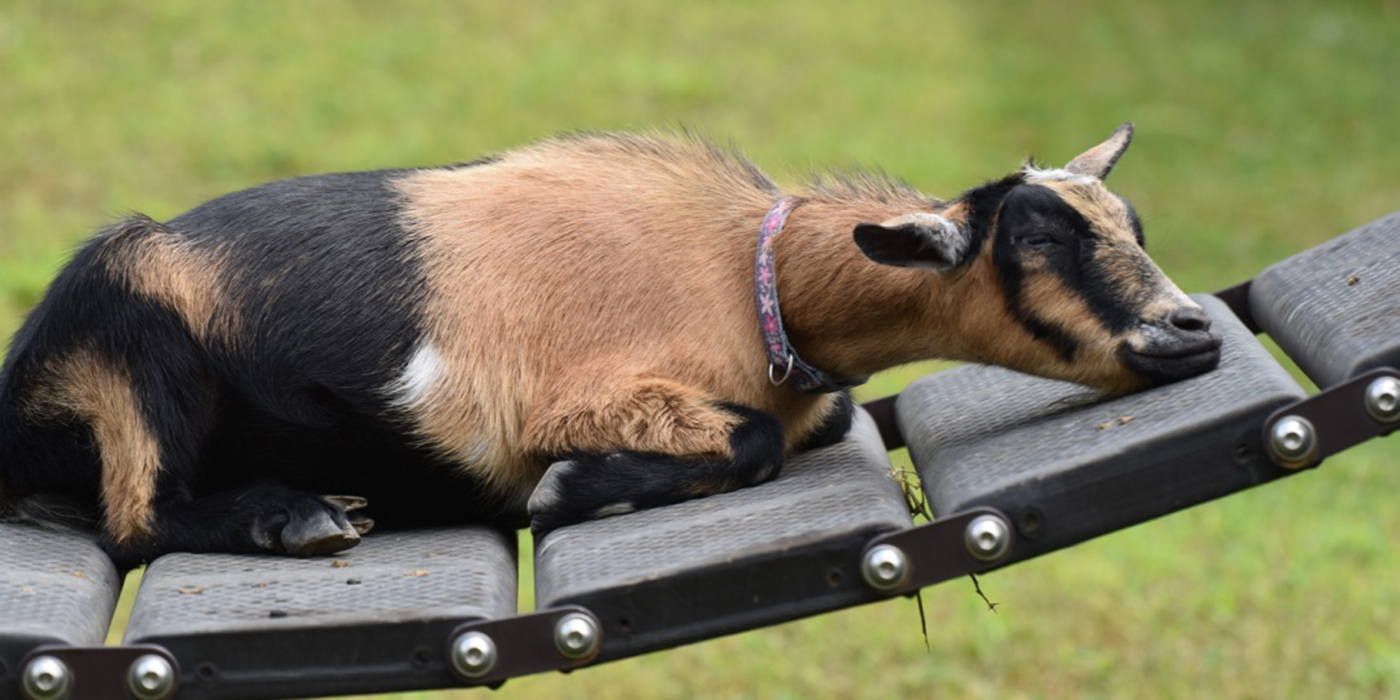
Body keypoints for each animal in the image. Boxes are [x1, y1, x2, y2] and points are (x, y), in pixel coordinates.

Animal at [0, 123, 1215, 565]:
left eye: (1132, 224)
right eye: (1038, 239)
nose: (1190, 330)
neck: (753, 277)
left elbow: (807, 426)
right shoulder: (569, 398)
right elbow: (746, 442)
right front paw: (572, 490)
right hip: (132, 341)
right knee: (138, 517)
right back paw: (295, 516)